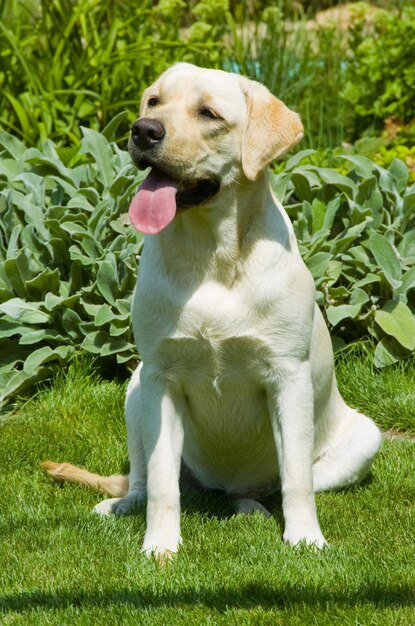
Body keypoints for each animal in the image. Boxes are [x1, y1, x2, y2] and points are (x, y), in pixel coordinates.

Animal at [43, 63, 384, 560]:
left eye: (208, 113)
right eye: (154, 101)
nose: (143, 131)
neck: (212, 258)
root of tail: (224, 487)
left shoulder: (288, 376)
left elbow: (296, 479)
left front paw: (305, 538)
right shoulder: (161, 378)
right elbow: (163, 483)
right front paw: (160, 546)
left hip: (365, 439)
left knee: (280, 483)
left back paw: (255, 508)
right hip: (135, 390)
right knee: (144, 479)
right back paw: (123, 503)